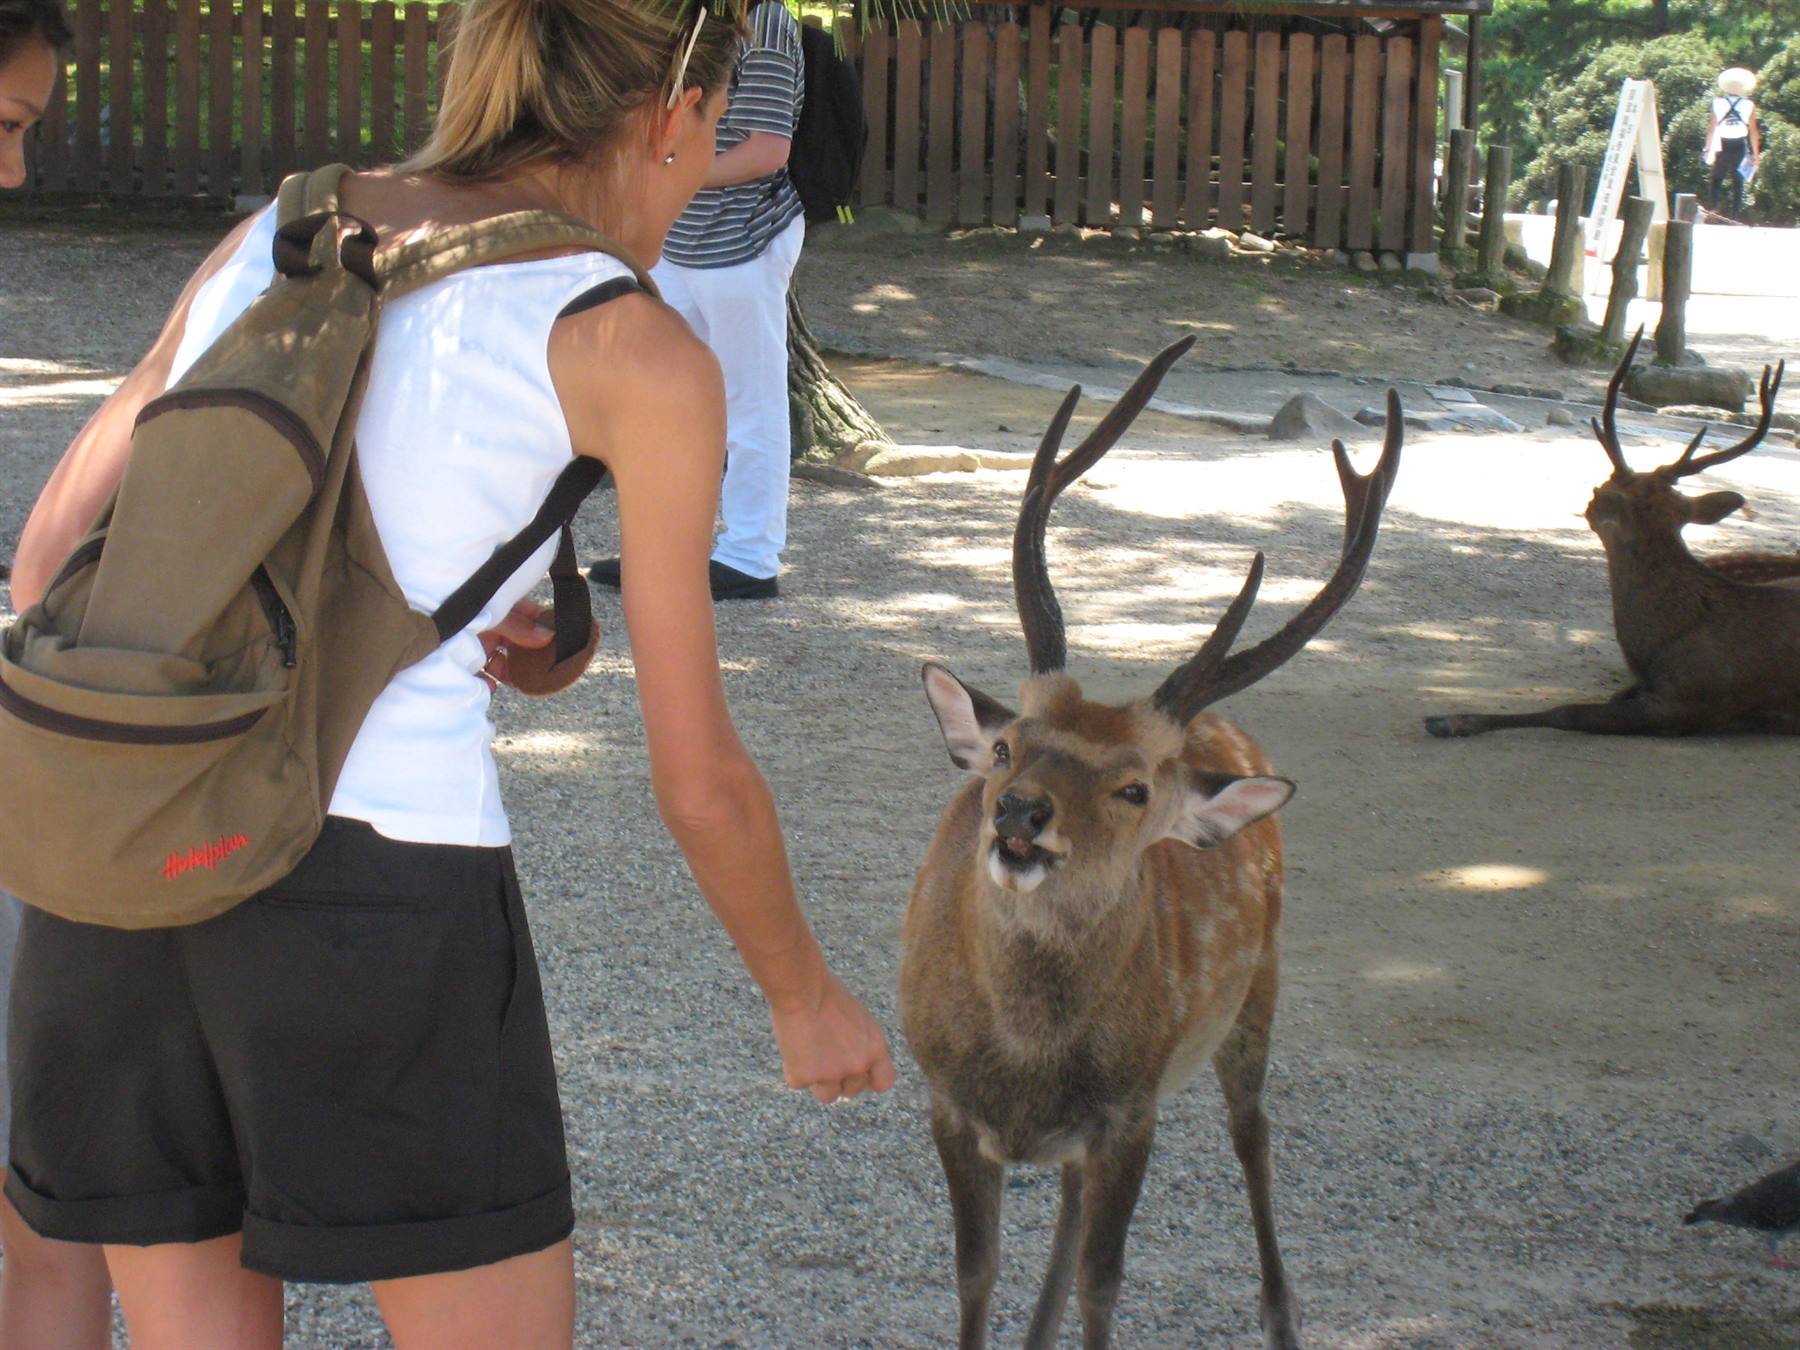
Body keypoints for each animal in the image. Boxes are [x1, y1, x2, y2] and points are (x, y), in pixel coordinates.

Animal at [899, 335, 1402, 1350]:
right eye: (1005, 747)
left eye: (1133, 790)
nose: (1019, 813)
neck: (1024, 1068)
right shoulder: (946, 1100)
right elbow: (975, 1274)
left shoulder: (1132, 1110)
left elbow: (1107, 1283)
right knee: (1067, 1205)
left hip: (1257, 989)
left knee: (1254, 1135)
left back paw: (1282, 1316)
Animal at [1425, 329, 1797, 739]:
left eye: (1601, 489)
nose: (1589, 504)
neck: (1660, 642)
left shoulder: (1692, 702)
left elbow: (1566, 712)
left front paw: (1451, 720)